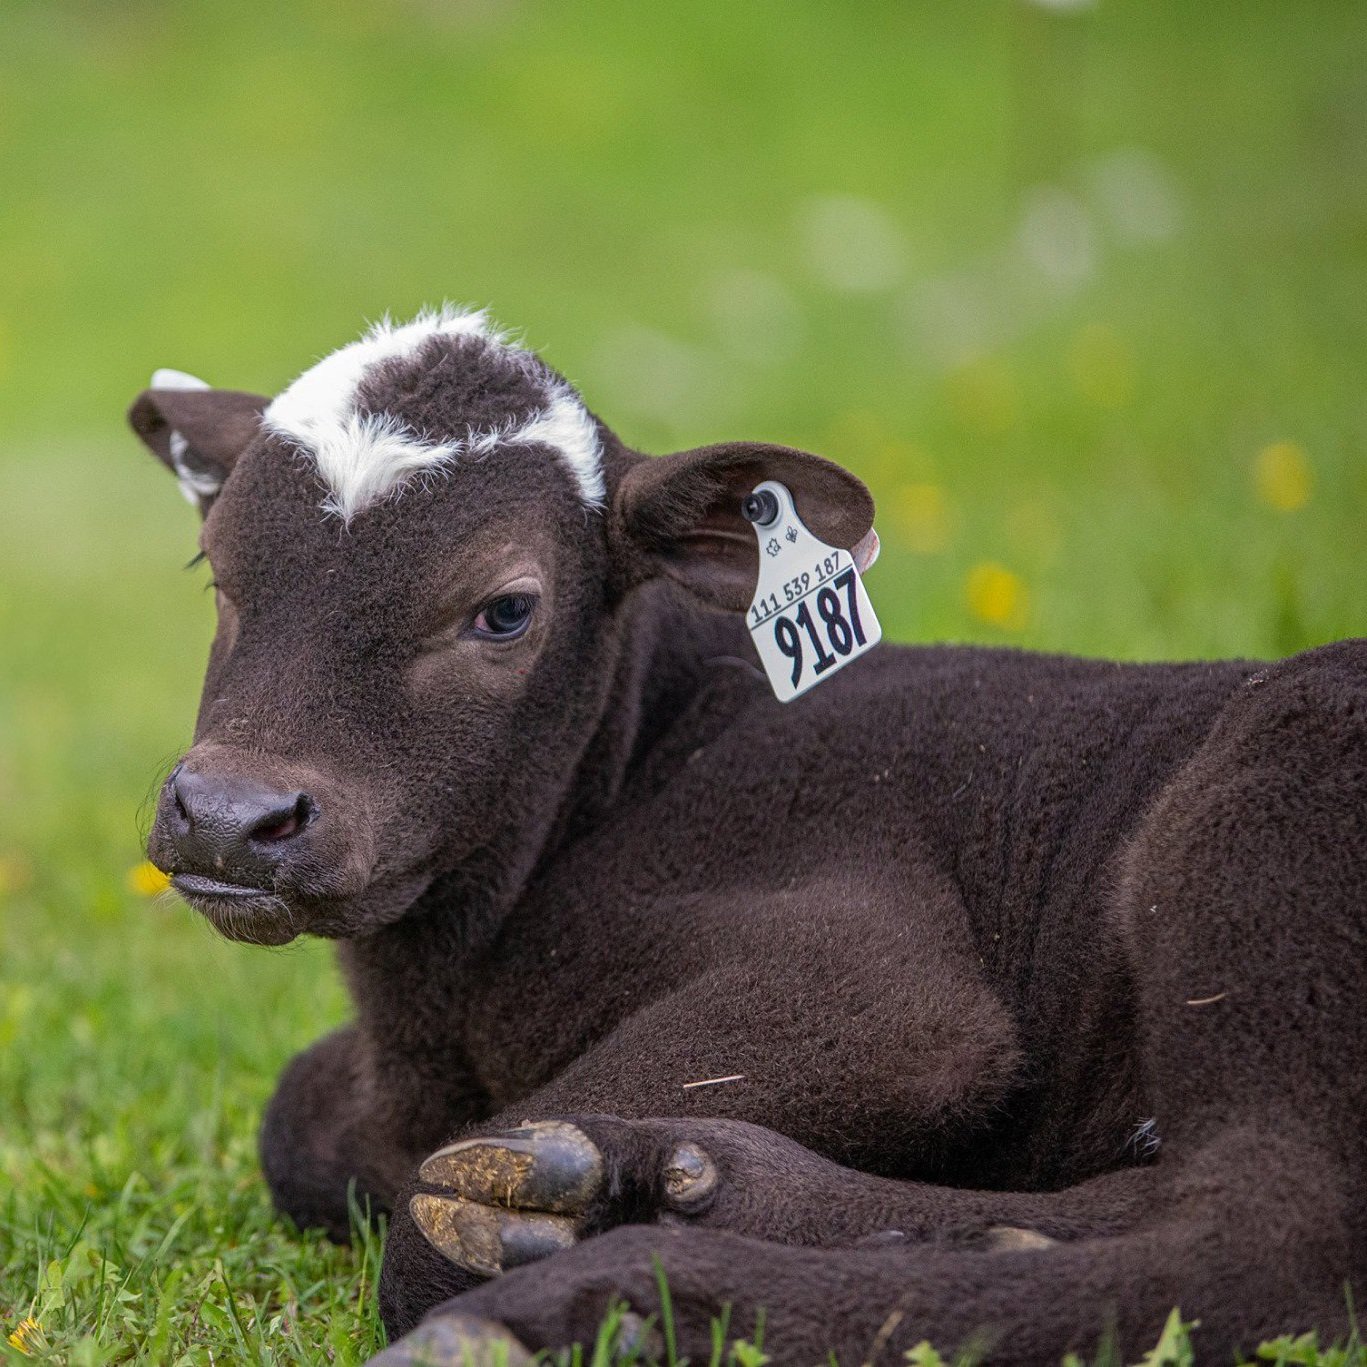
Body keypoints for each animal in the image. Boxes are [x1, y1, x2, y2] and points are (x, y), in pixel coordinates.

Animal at [127, 307, 1366, 1365]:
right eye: (217, 569)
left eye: (506, 608)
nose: (230, 814)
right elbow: (295, 1115)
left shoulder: (876, 986)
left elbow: (427, 1211)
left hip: (1258, 827)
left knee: (1260, 1234)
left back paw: (595, 1287)